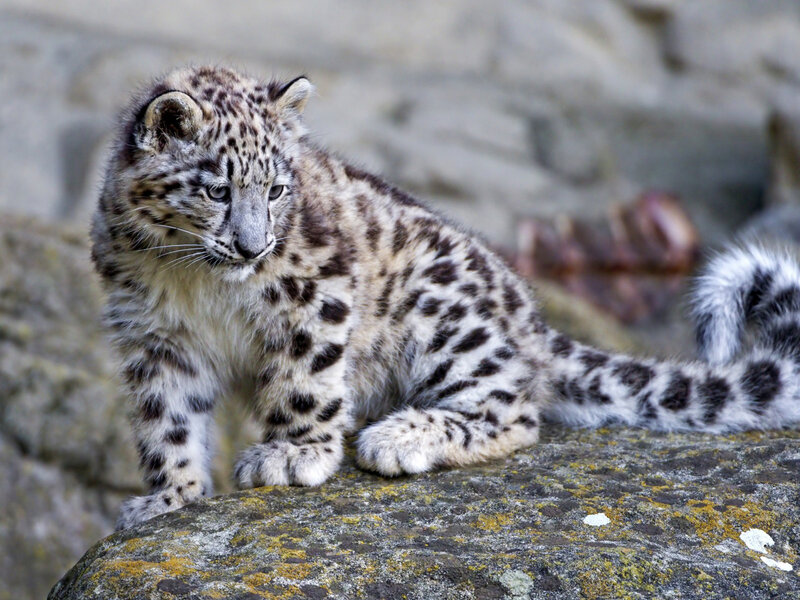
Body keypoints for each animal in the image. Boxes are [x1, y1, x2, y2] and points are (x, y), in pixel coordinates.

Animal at [90, 66, 800, 530]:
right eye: (218, 190)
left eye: (277, 190)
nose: (252, 246)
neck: (199, 283)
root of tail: (531, 318)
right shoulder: (154, 338)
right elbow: (167, 419)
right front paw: (170, 497)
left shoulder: (315, 293)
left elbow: (304, 379)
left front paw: (294, 455)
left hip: (443, 315)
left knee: (514, 409)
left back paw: (397, 436)